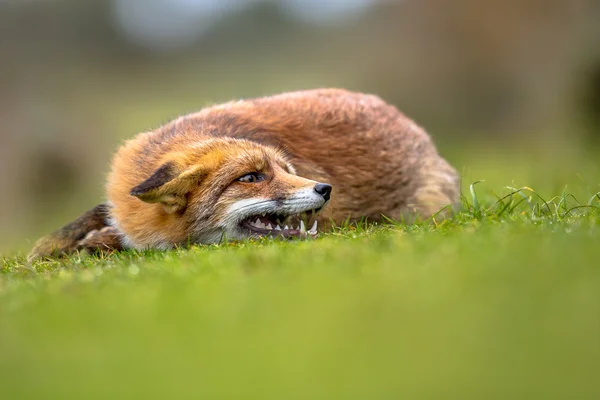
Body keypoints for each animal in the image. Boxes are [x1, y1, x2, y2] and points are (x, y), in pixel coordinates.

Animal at [27, 88, 460, 260]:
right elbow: (80, 223)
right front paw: (54, 247)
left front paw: (97, 243)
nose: (325, 188)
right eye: (251, 177)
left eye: (287, 170)